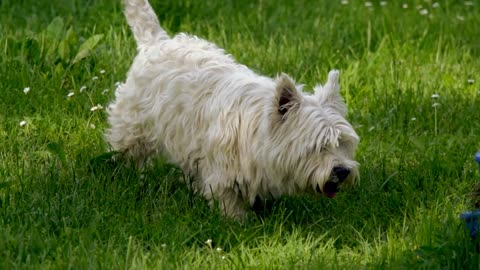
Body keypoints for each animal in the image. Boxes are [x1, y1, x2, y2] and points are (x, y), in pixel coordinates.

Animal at [106, 0, 360, 219]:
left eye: (343, 143)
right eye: (318, 146)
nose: (343, 171)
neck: (259, 130)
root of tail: (157, 41)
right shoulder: (223, 172)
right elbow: (227, 200)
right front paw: (237, 222)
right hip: (134, 123)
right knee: (126, 149)